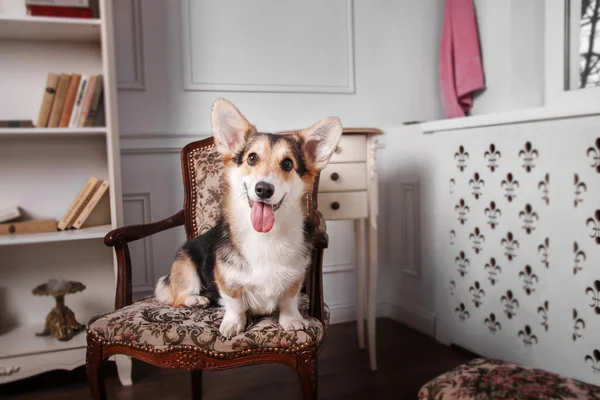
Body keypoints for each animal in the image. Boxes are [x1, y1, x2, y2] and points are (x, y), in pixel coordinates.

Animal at [155, 97, 342, 338]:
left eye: (287, 163)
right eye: (252, 158)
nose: (263, 189)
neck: (265, 236)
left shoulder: (295, 277)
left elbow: (289, 301)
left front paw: (292, 320)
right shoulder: (226, 280)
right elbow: (235, 303)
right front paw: (233, 324)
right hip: (186, 266)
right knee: (177, 297)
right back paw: (196, 299)